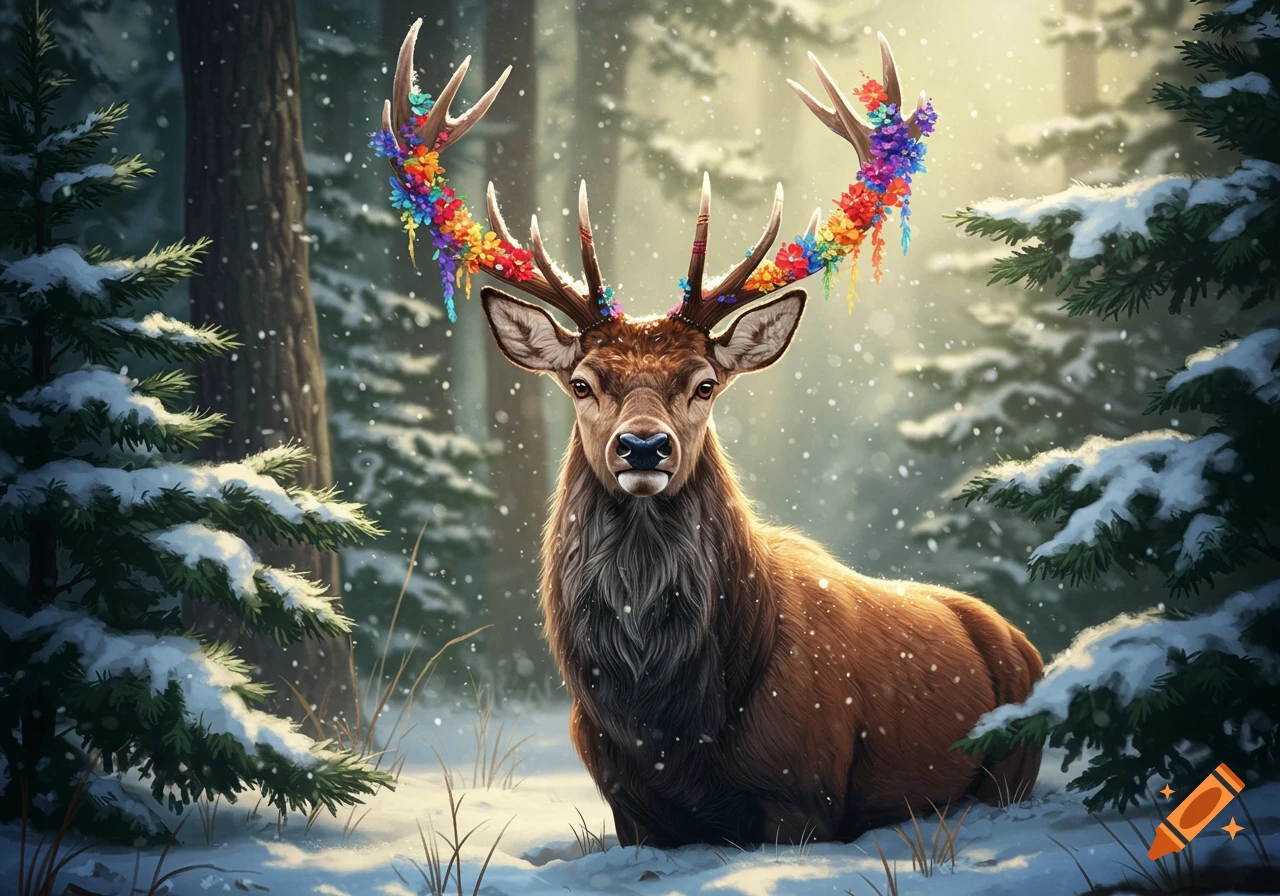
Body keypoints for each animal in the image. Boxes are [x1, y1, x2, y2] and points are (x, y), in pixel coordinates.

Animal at [379, 21, 1044, 847]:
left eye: (703, 383)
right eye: (582, 383)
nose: (643, 447)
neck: (668, 727)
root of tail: (1023, 641)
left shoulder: (805, 788)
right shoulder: (627, 805)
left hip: (1014, 768)